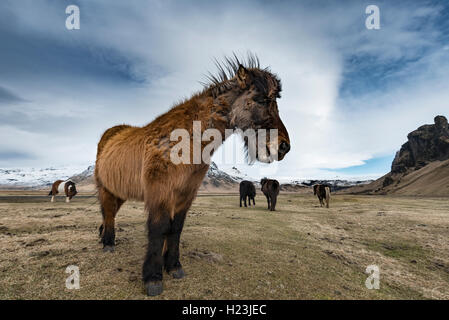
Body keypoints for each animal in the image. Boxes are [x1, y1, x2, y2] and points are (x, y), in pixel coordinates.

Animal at [94, 54, 290, 296]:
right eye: (261, 100)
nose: (284, 146)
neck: (186, 142)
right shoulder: (160, 194)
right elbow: (159, 229)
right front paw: (153, 278)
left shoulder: (185, 195)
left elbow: (176, 228)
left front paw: (173, 266)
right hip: (106, 188)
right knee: (108, 212)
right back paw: (108, 243)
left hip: (120, 192)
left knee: (109, 213)